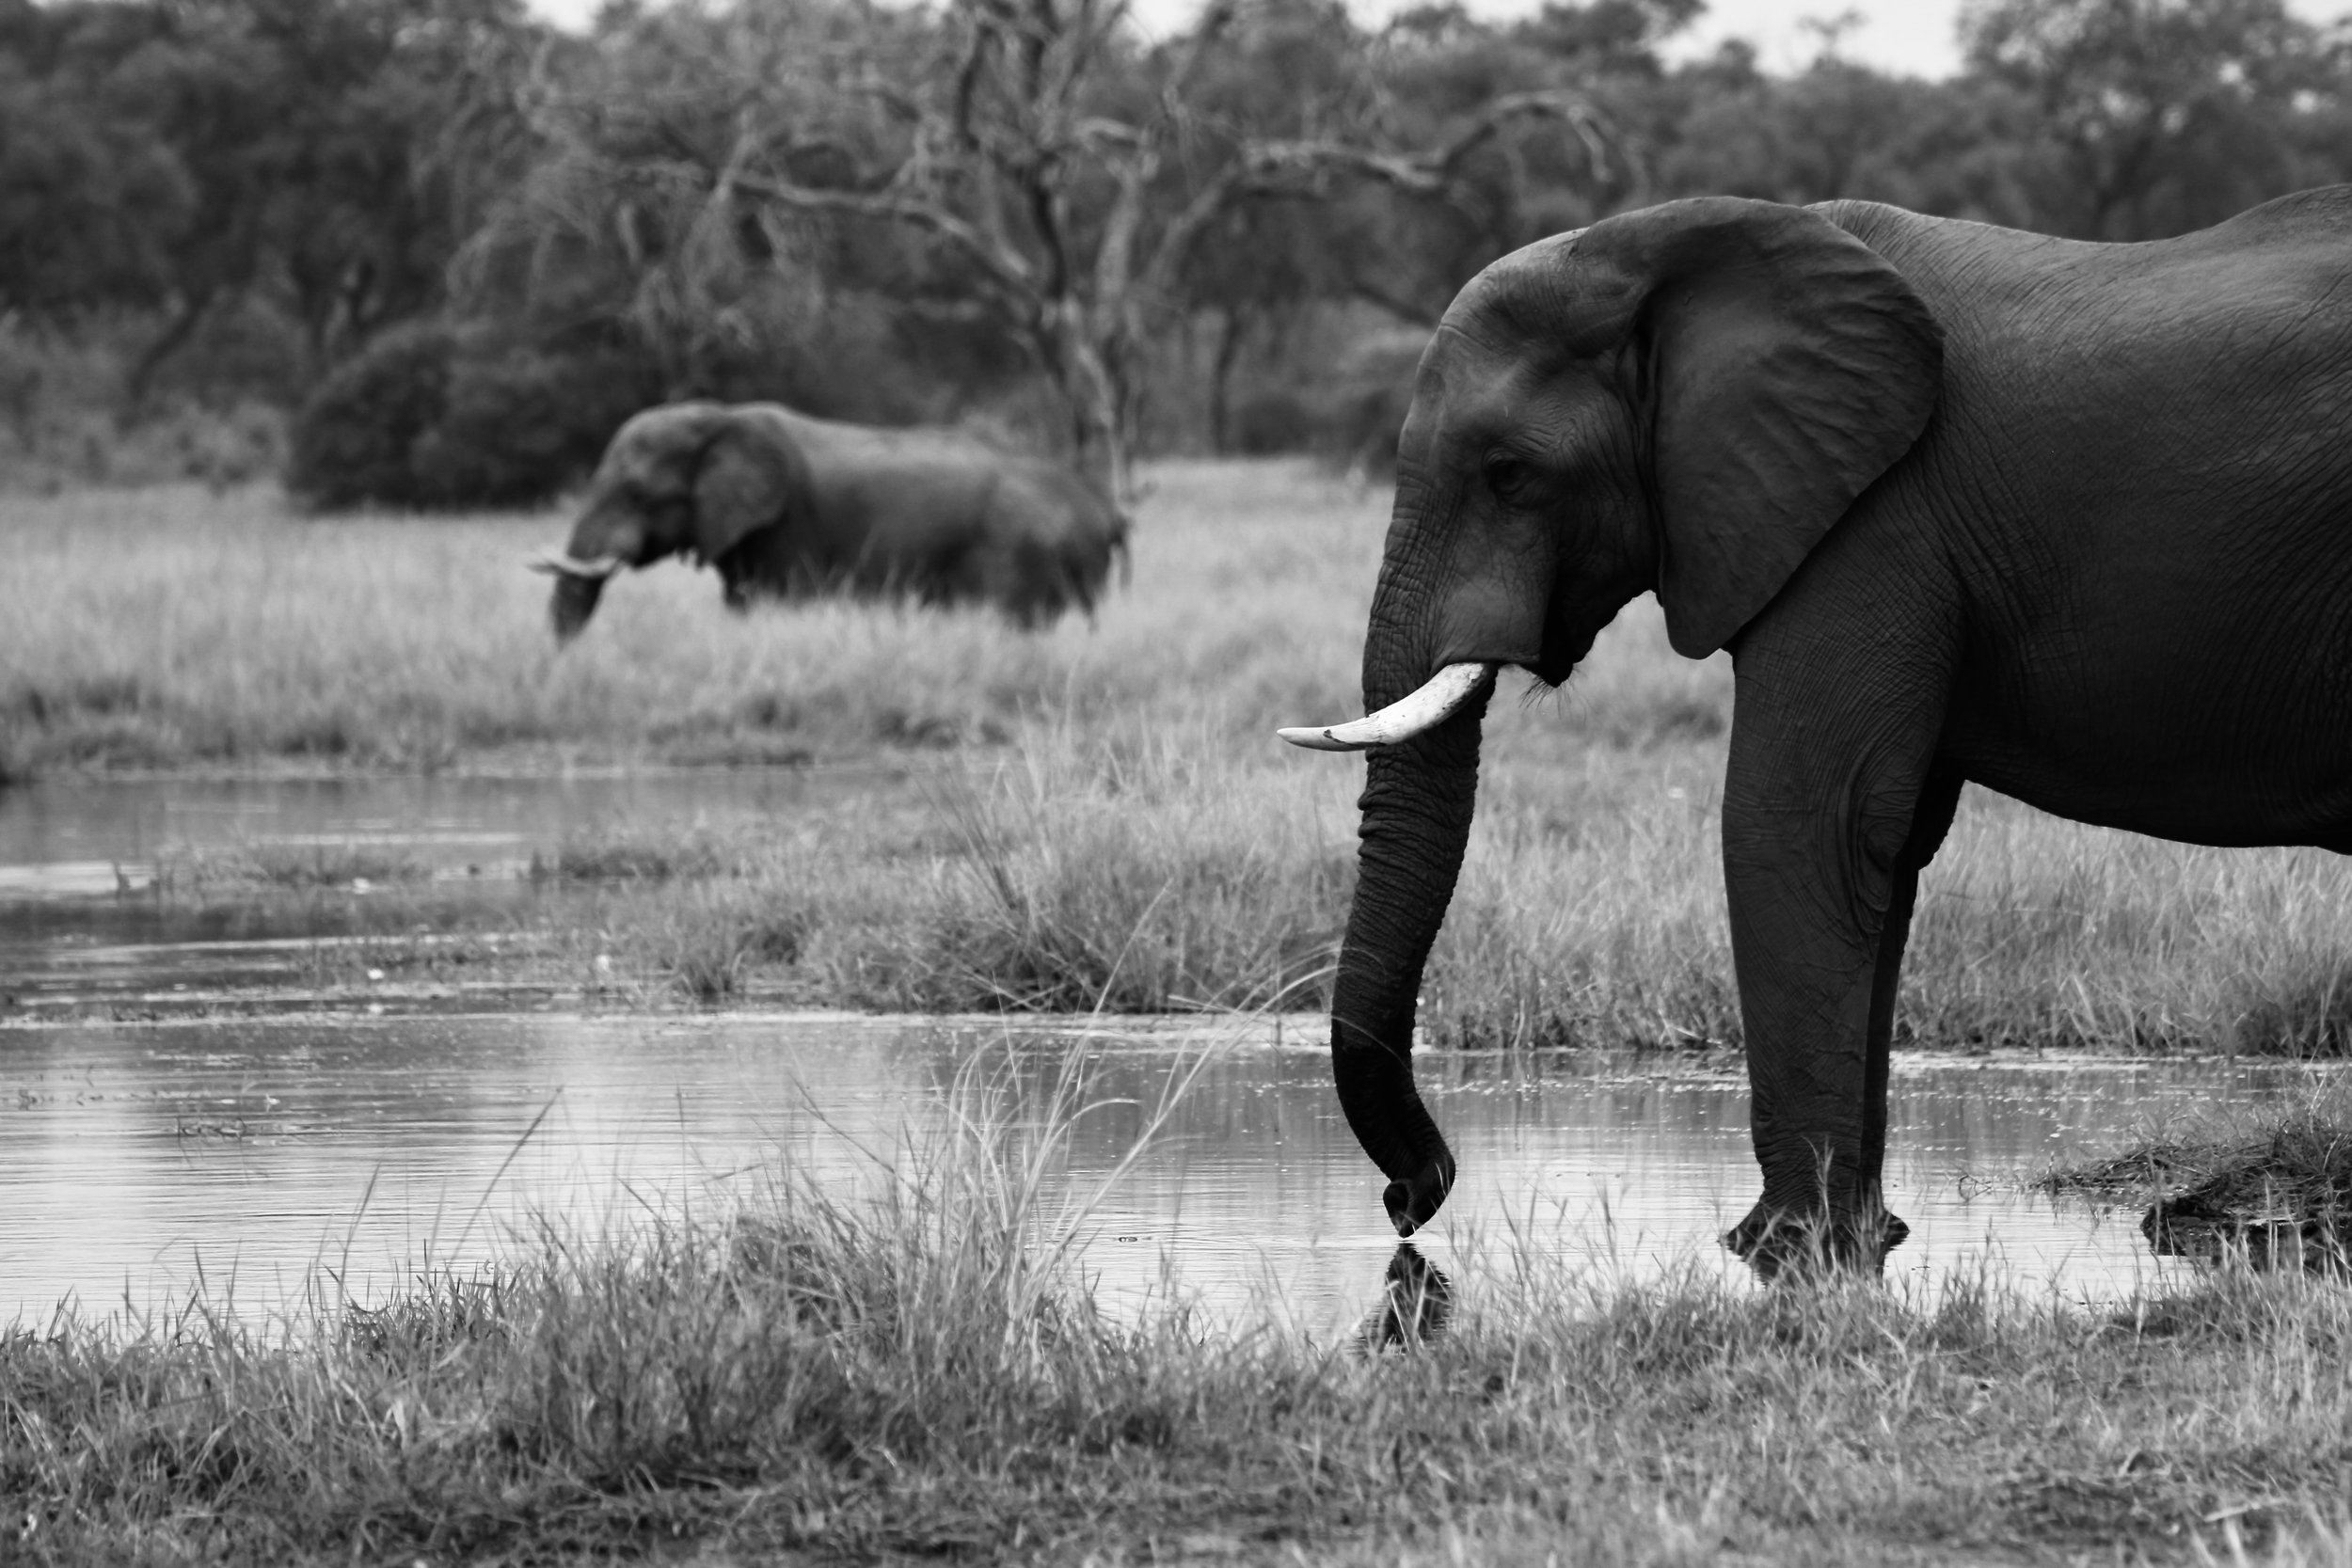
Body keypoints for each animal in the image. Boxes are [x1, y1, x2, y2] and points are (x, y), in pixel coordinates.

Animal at [532, 401, 1128, 641]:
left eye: (637, 493)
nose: (563, 664)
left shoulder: (784, 525)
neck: (719, 416)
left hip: (1021, 552)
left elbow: (772, 602)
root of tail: (1102, 512)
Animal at [1280, 185, 2352, 1276]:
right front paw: (1863, 1238)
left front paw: (1782, 1248)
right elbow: (1885, 849)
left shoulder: (1872, 525)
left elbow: (1799, 824)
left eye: (1508, 472)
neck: (1664, 247)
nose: (1410, 1202)